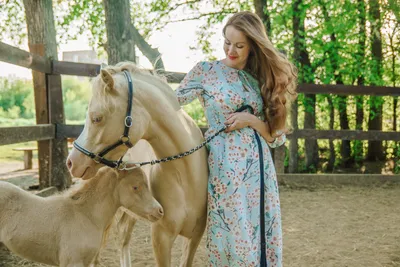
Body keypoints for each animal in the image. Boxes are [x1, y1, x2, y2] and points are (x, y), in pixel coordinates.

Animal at [67, 61, 208, 266]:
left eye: (97, 118)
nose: (71, 162)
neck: (185, 177)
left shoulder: (194, 237)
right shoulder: (161, 237)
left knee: (123, 236)